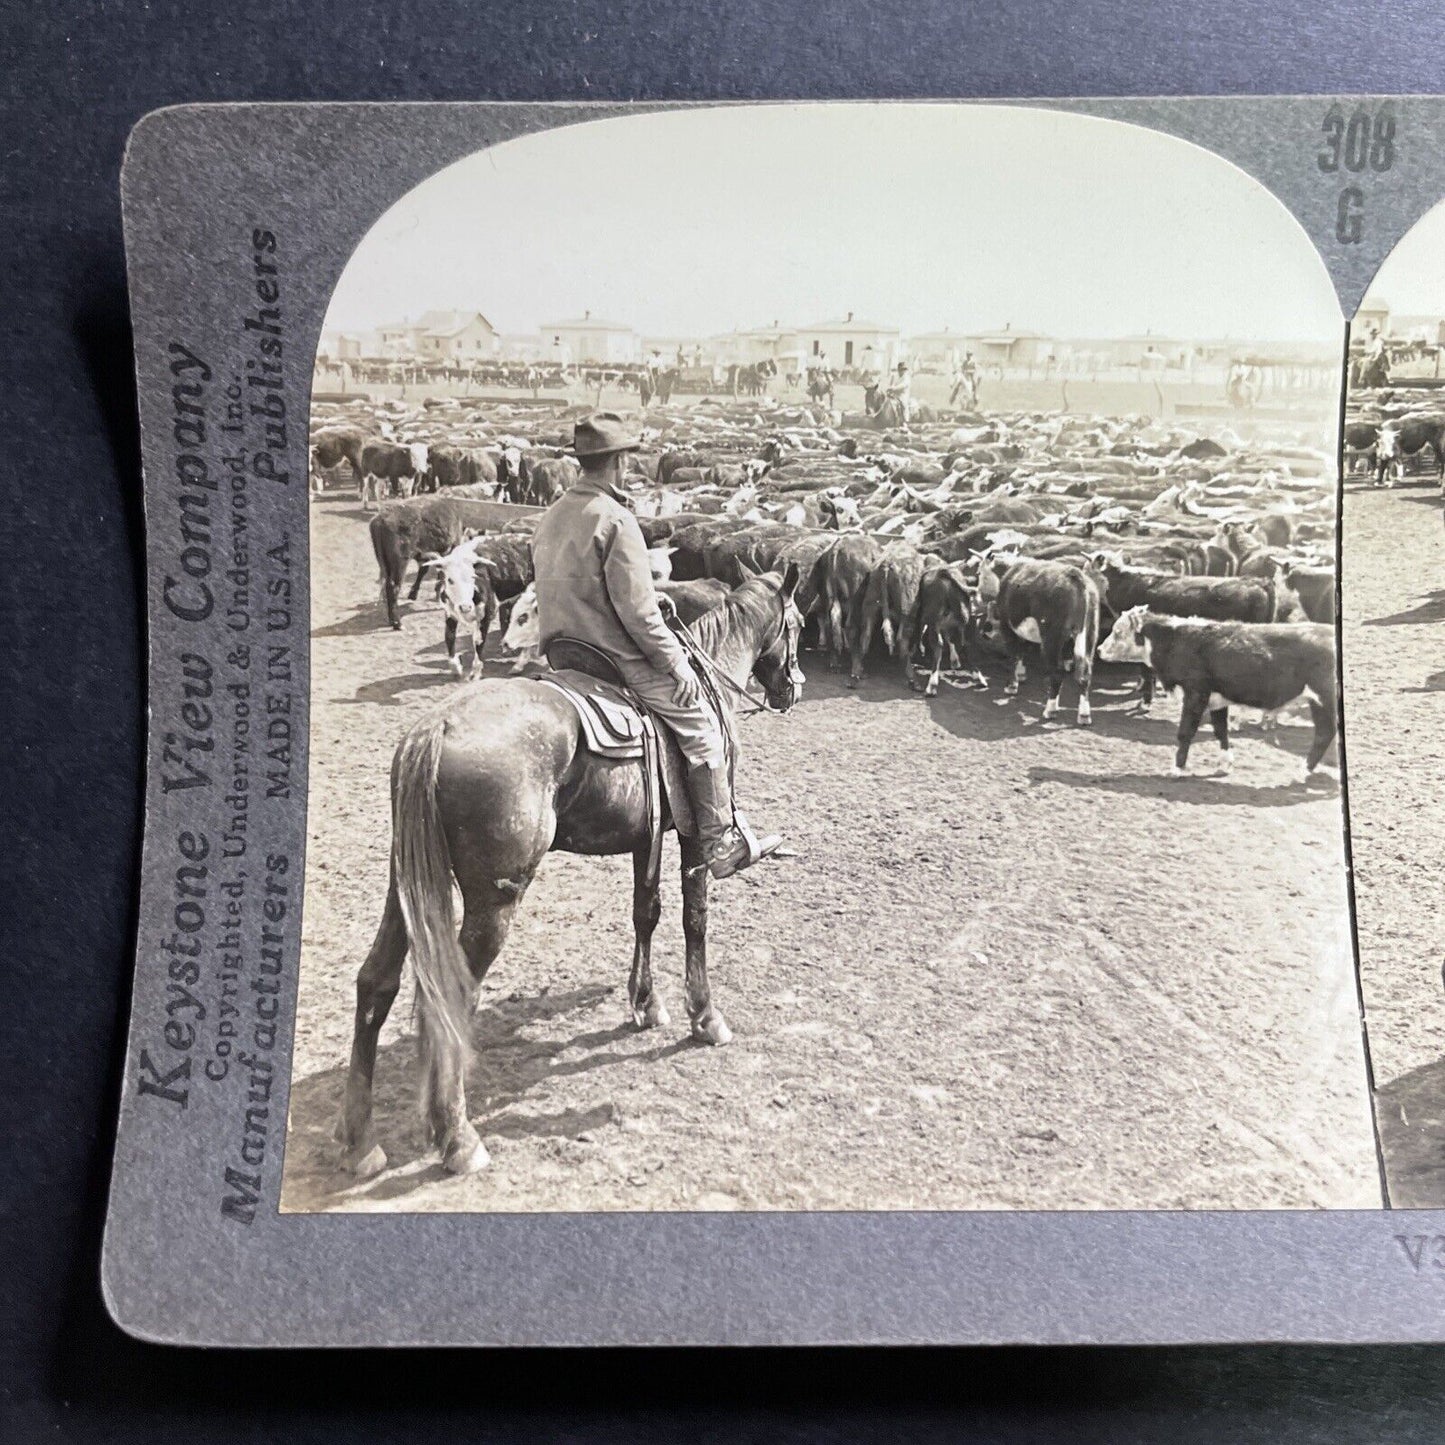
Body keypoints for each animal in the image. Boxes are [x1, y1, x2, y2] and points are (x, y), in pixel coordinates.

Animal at [333, 560, 809, 1173]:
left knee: (376, 982)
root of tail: (435, 730)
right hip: (494, 902)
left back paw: (360, 1140)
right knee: (451, 998)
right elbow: (693, 920)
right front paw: (704, 1016)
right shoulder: (692, 837)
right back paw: (457, 1137)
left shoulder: (646, 835)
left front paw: (646, 1004)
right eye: (797, 623)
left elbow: (646, 912)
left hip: (403, 886)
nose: (793, 687)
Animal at [988, 557, 1098, 728]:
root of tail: (1075, 575)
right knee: (1085, 673)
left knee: (1057, 673)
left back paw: (1050, 710)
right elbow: (1022, 650)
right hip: (1090, 633)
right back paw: (1084, 715)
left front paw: (1011, 685)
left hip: (1051, 637)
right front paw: (1021, 674)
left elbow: (1014, 654)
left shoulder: (1006, 625)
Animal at [1098, 606, 1335, 786]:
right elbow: (1221, 731)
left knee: (1324, 734)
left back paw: (1301, 771)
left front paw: (1176, 768)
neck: (1177, 641)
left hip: (1324, 700)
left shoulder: (1195, 694)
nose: (1099, 650)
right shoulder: (1216, 700)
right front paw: (1225, 764)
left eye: (1118, 632)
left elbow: (1185, 733)